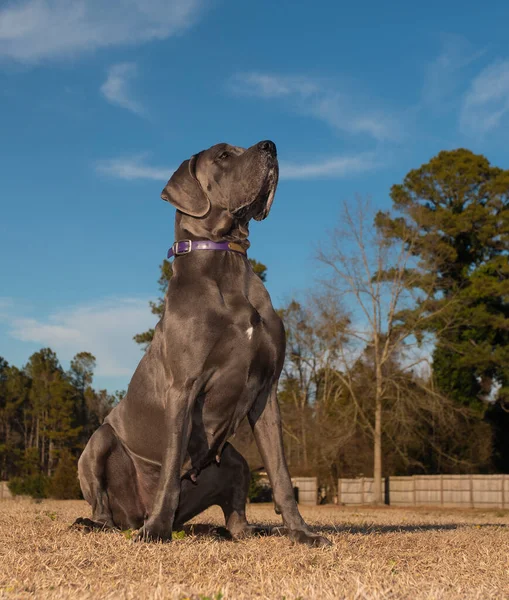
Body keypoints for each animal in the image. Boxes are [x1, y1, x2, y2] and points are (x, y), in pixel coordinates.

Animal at [75, 141, 330, 548]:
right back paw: (109, 524)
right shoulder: (184, 386)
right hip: (98, 443)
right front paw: (156, 531)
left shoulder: (267, 392)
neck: (226, 259)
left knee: (237, 516)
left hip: (234, 462)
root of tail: (133, 514)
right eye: (224, 155)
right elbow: (170, 469)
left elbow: (281, 474)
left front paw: (301, 532)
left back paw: (241, 531)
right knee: (103, 505)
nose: (271, 146)